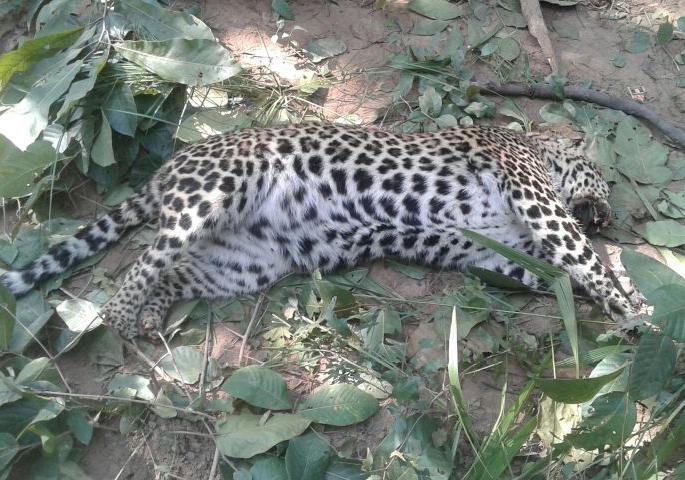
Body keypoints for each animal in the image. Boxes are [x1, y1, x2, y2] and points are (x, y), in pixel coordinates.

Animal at [1, 123, 643, 339]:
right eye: (605, 181)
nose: (612, 214)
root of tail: (165, 172)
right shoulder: (533, 197)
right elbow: (582, 256)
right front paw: (635, 314)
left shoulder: (510, 249)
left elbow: (564, 268)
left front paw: (627, 298)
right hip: (216, 190)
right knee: (144, 262)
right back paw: (120, 318)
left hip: (238, 264)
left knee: (173, 271)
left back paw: (152, 316)